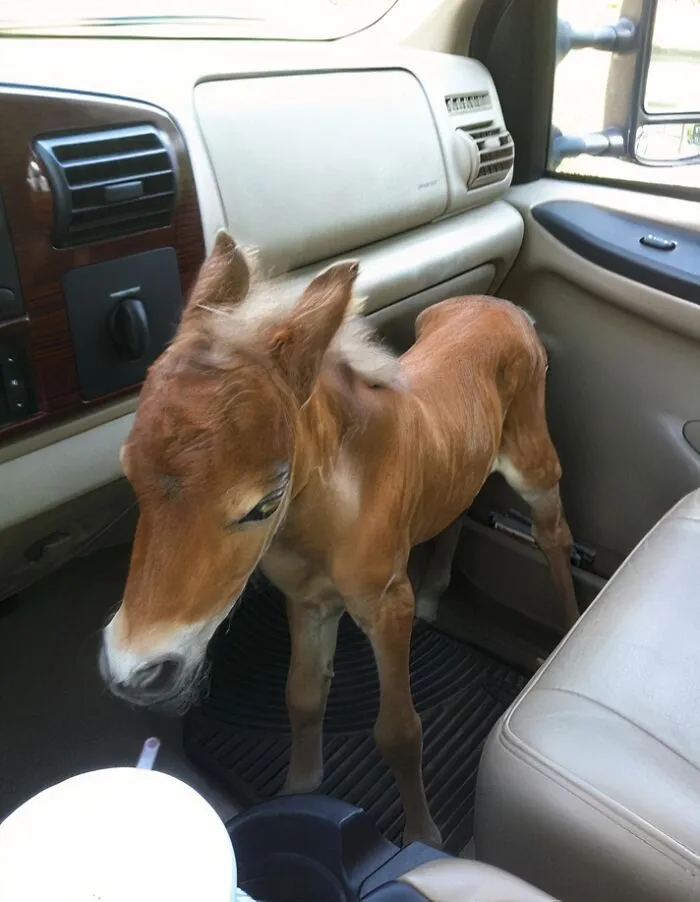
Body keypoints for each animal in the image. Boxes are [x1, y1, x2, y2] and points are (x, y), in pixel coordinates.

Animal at [99, 231, 578, 847]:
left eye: (264, 503)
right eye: (129, 473)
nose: (135, 670)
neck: (325, 516)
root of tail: (505, 307)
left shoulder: (384, 604)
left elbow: (400, 732)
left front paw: (423, 835)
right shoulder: (307, 601)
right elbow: (302, 700)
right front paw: (298, 791)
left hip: (533, 457)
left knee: (554, 534)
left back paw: (567, 631)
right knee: (458, 508)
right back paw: (435, 593)